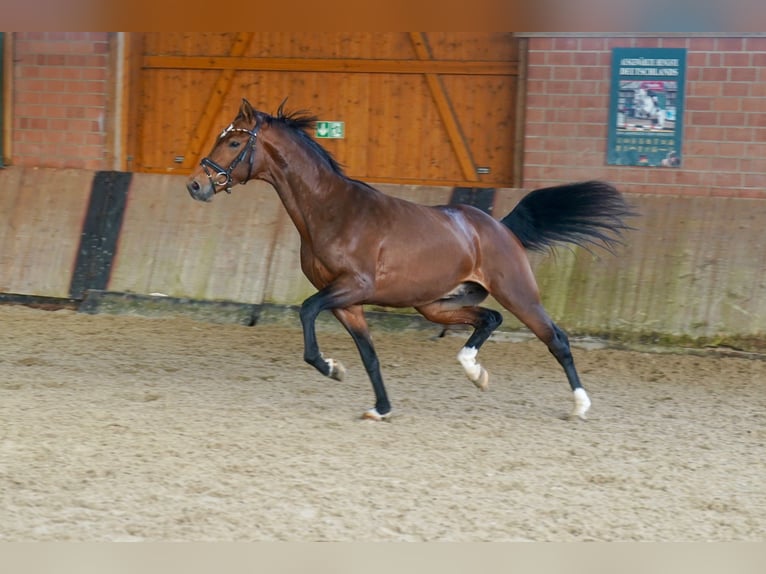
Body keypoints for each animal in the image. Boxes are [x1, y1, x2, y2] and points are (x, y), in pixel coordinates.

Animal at [186, 99, 636, 424]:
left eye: (232, 142)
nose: (195, 185)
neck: (333, 211)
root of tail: (498, 226)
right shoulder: (348, 303)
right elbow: (369, 355)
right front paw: (379, 407)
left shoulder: (352, 287)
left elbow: (306, 311)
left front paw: (330, 367)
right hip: (435, 305)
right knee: (489, 319)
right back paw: (474, 372)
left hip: (517, 293)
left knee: (555, 338)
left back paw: (578, 406)